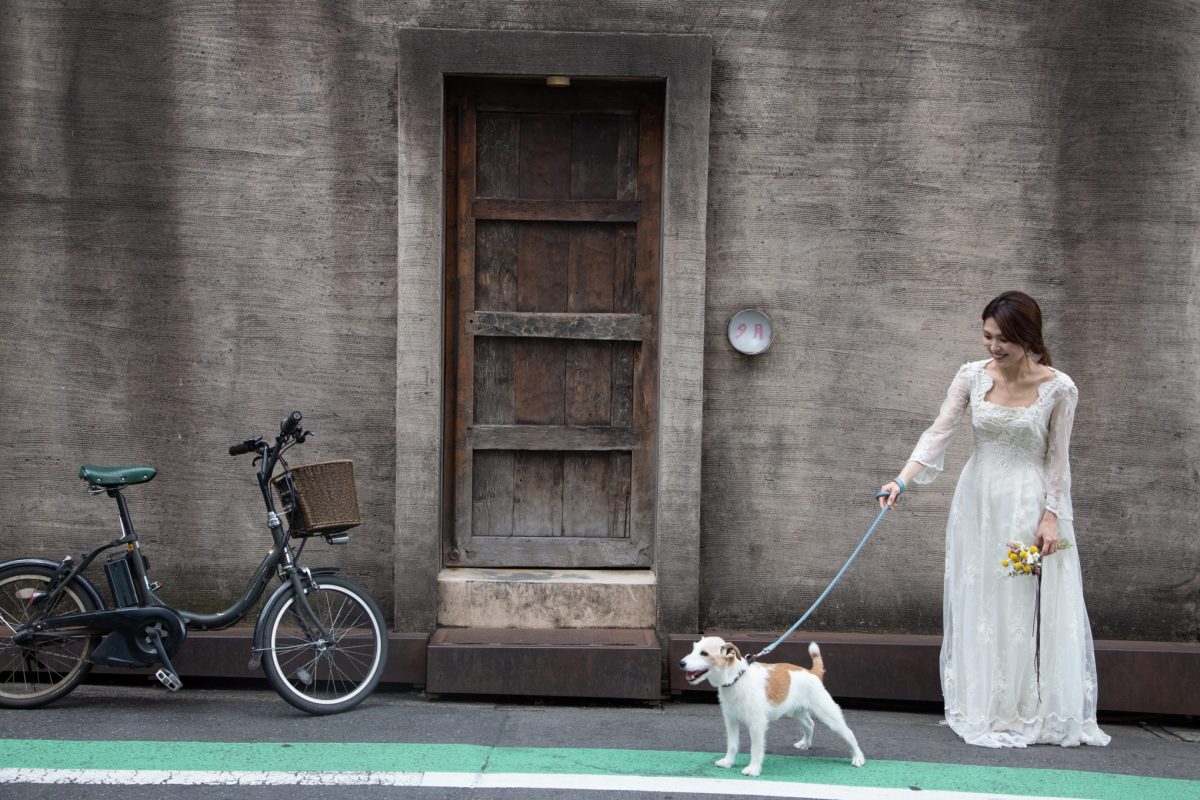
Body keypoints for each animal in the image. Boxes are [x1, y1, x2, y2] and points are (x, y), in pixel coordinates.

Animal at [681, 638, 868, 777]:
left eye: (704, 653)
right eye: (693, 649)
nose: (681, 663)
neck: (737, 679)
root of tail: (812, 673)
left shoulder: (757, 724)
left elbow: (756, 748)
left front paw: (753, 769)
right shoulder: (731, 720)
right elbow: (732, 744)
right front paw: (728, 762)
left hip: (829, 714)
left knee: (848, 733)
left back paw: (858, 757)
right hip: (796, 712)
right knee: (810, 724)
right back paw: (805, 743)